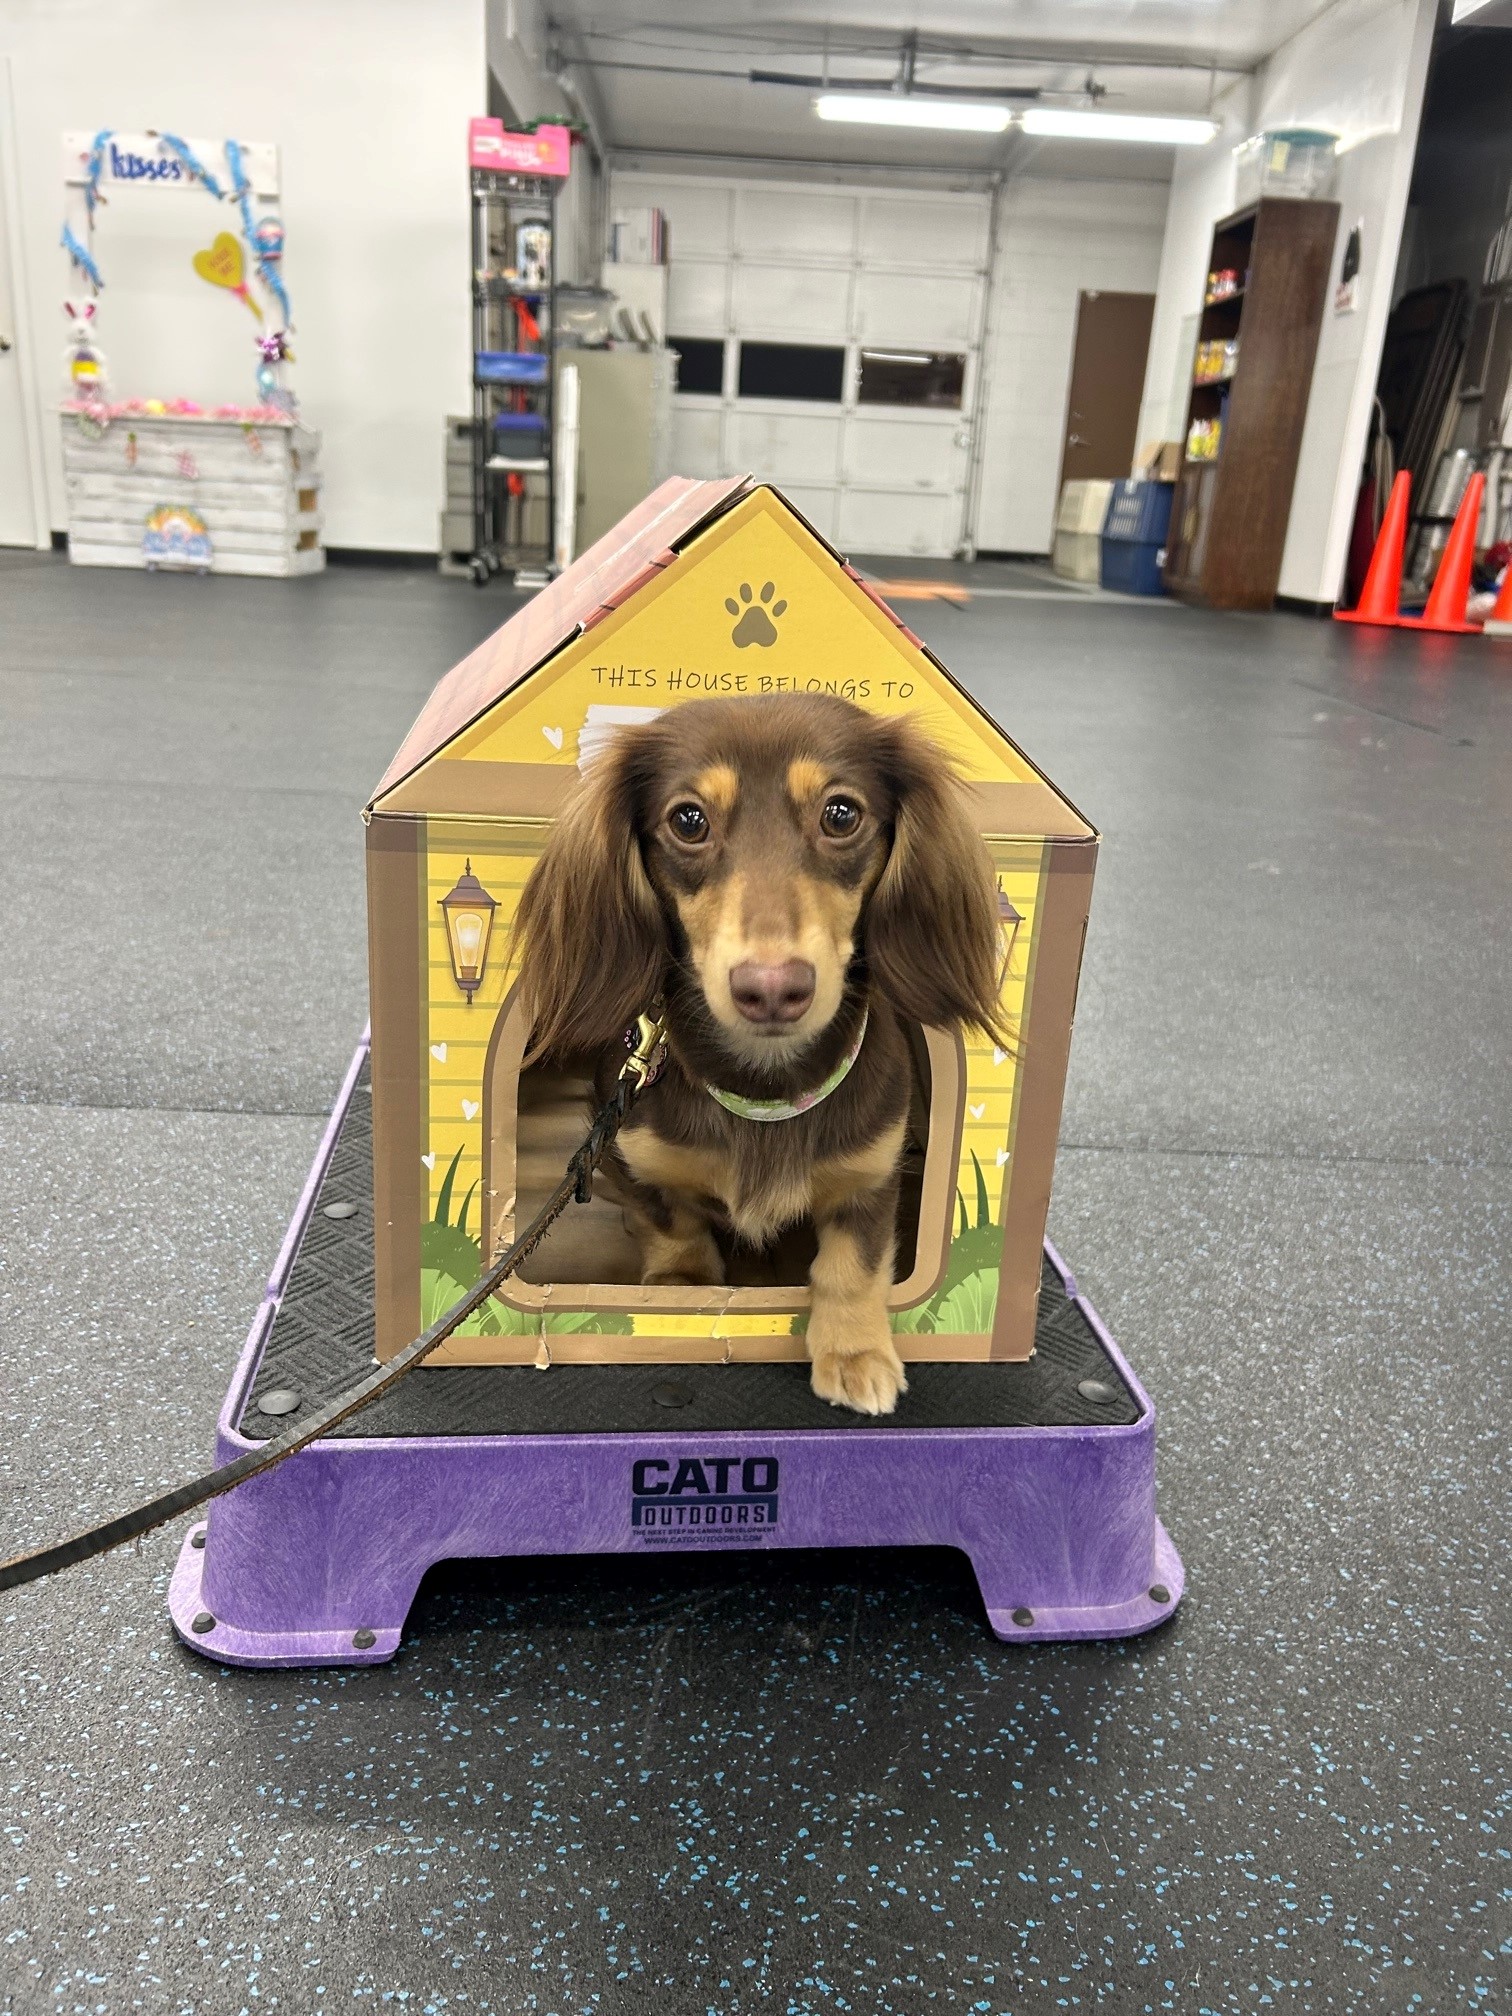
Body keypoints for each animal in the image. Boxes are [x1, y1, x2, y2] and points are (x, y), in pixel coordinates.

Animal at [514, 693, 1008, 1414]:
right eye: (688, 820)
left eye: (841, 813)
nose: (772, 989)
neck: (764, 1089)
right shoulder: (629, 1151)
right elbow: (672, 1222)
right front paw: (682, 1290)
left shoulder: (872, 1173)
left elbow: (853, 1264)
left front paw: (855, 1351)